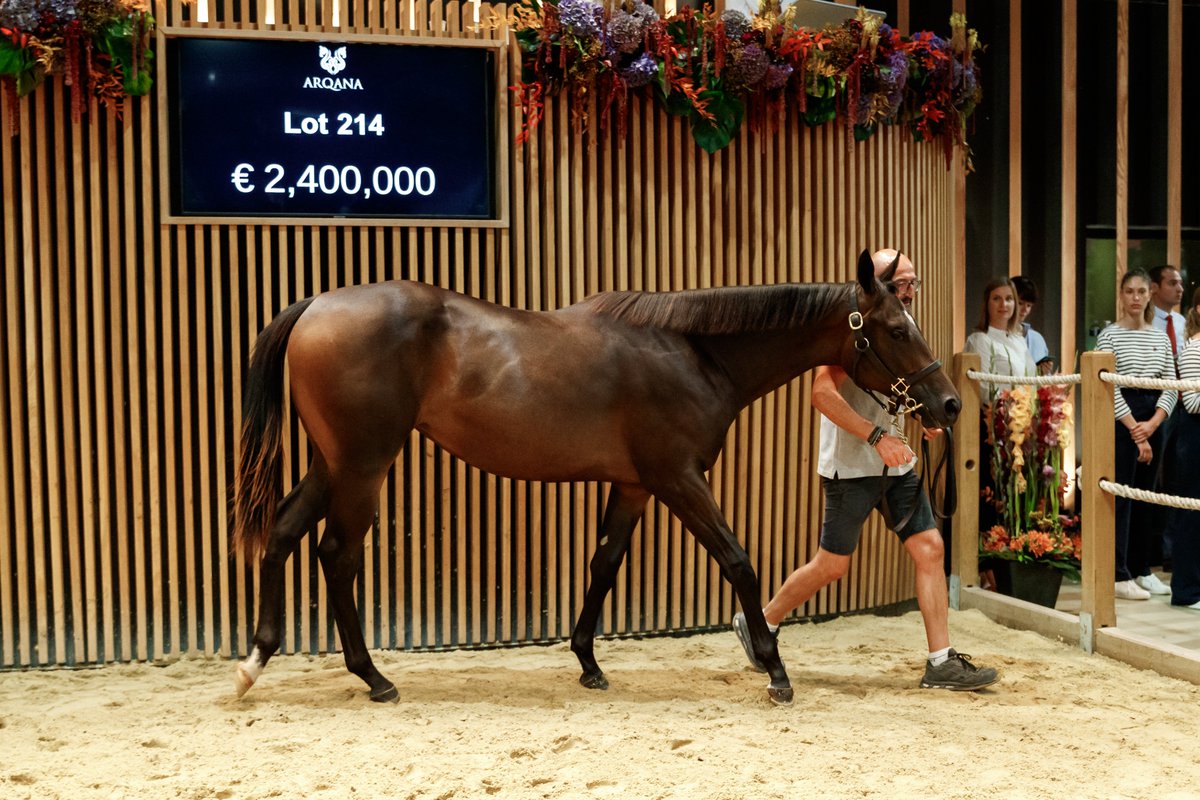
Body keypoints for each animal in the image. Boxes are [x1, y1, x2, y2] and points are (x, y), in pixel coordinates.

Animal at [231, 250, 964, 705]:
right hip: (363, 465)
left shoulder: (635, 486)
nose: (950, 404)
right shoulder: (678, 479)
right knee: (336, 554)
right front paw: (775, 669)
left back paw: (256, 660)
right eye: (896, 327)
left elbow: (603, 565)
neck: (693, 352)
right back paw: (374, 677)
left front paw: (587, 663)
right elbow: (739, 561)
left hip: (332, 463)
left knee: (284, 534)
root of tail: (316, 305)